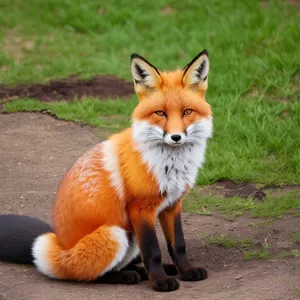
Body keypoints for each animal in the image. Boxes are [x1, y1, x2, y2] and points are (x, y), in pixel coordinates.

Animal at [0, 50, 212, 292]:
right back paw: (130, 276)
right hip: (116, 234)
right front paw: (160, 280)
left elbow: (178, 245)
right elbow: (153, 251)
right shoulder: (141, 209)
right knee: (93, 275)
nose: (176, 137)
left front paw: (185, 271)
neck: (170, 166)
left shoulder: (172, 205)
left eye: (187, 112)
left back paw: (144, 271)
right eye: (160, 113)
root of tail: (56, 247)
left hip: (130, 236)